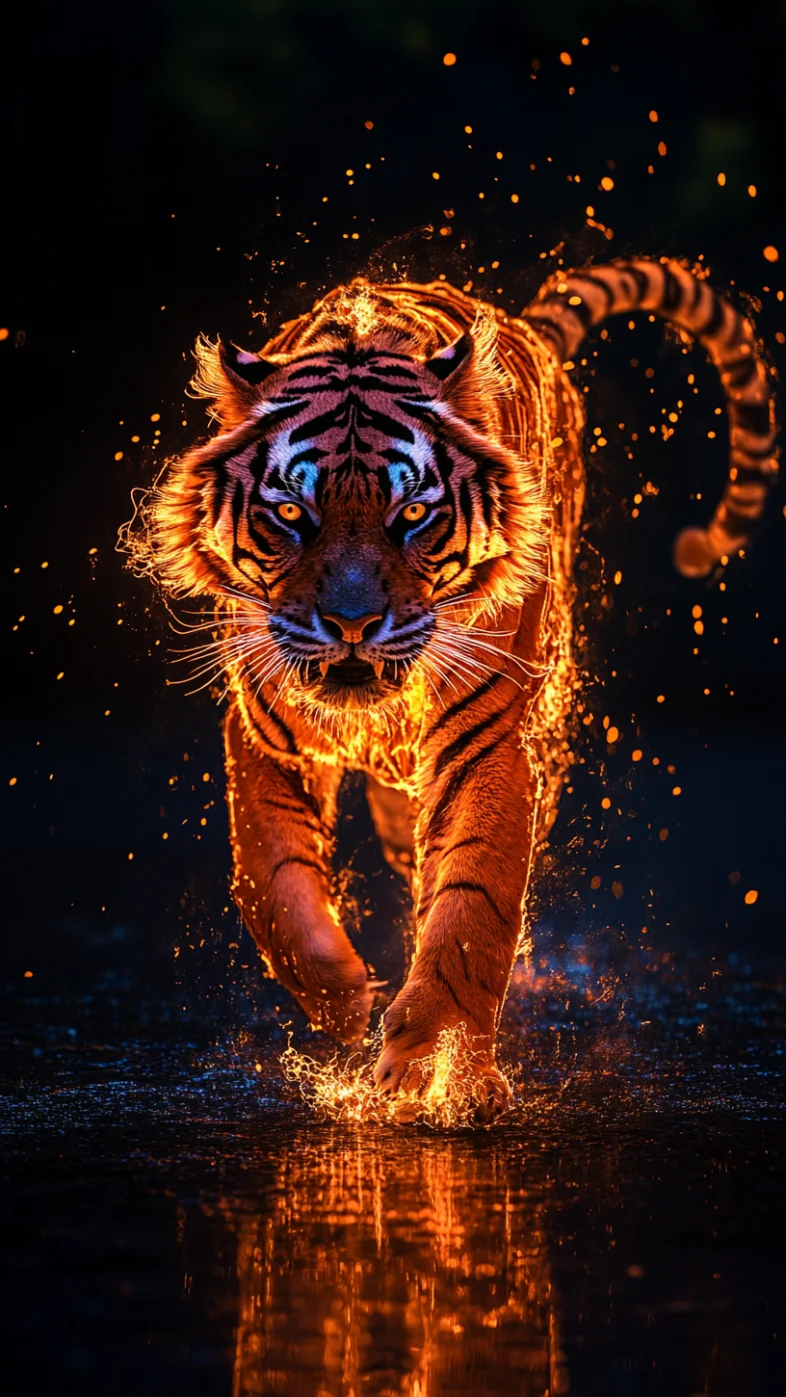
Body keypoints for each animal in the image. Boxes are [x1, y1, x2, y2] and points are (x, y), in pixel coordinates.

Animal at [129, 258, 778, 1121]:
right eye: (292, 512)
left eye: (413, 514)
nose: (353, 622)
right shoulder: (266, 729)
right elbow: (271, 877)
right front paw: (342, 999)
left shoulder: (485, 742)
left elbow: (471, 902)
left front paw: (436, 1062)